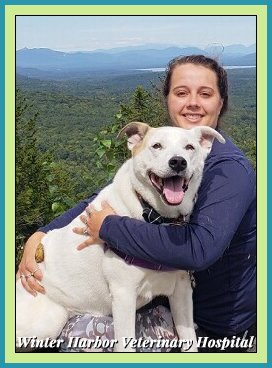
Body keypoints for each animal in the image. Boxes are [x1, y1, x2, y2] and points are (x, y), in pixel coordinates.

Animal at [16, 122, 225, 352]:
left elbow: (190, 341)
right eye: (157, 146)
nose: (178, 162)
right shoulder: (124, 295)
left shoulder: (182, 292)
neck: (157, 219)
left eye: (189, 147)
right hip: (48, 321)